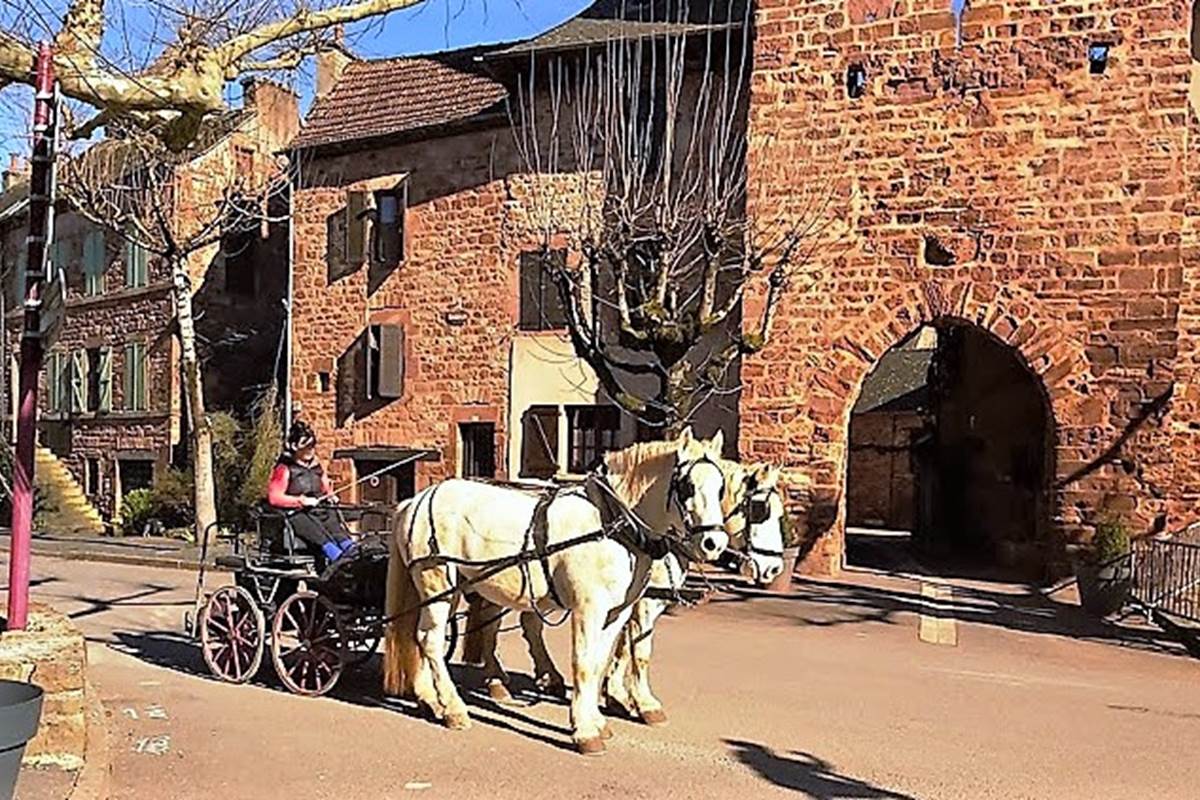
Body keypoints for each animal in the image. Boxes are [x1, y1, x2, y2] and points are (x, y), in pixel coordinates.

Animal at [379, 429, 724, 753]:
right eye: (687, 486)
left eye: (721, 487)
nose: (714, 543)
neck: (611, 523)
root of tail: (415, 501)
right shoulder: (589, 609)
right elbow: (585, 663)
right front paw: (584, 731)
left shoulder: (617, 611)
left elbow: (600, 662)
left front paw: (600, 719)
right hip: (437, 580)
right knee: (431, 640)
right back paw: (453, 708)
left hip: (453, 588)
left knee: (425, 636)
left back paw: (430, 699)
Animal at [465, 453, 787, 729]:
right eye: (760, 510)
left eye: (720, 492)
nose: (773, 569)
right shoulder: (643, 602)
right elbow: (638, 650)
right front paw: (639, 702)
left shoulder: (632, 600)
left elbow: (620, 646)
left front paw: (614, 694)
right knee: (493, 622)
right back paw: (496, 680)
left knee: (527, 622)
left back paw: (545, 676)